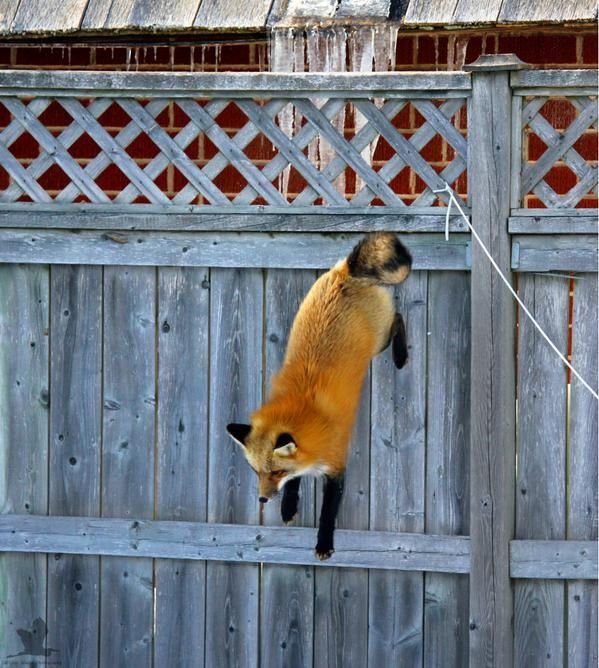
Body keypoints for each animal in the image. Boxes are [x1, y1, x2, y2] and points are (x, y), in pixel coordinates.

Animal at [226, 232, 412, 560]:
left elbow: (328, 511)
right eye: (255, 471)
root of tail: (345, 270)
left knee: (399, 318)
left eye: (275, 472)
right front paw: (289, 507)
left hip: (379, 341)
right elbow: (295, 482)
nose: (262, 500)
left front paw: (324, 544)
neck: (302, 410)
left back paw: (401, 355)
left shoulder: (336, 467)